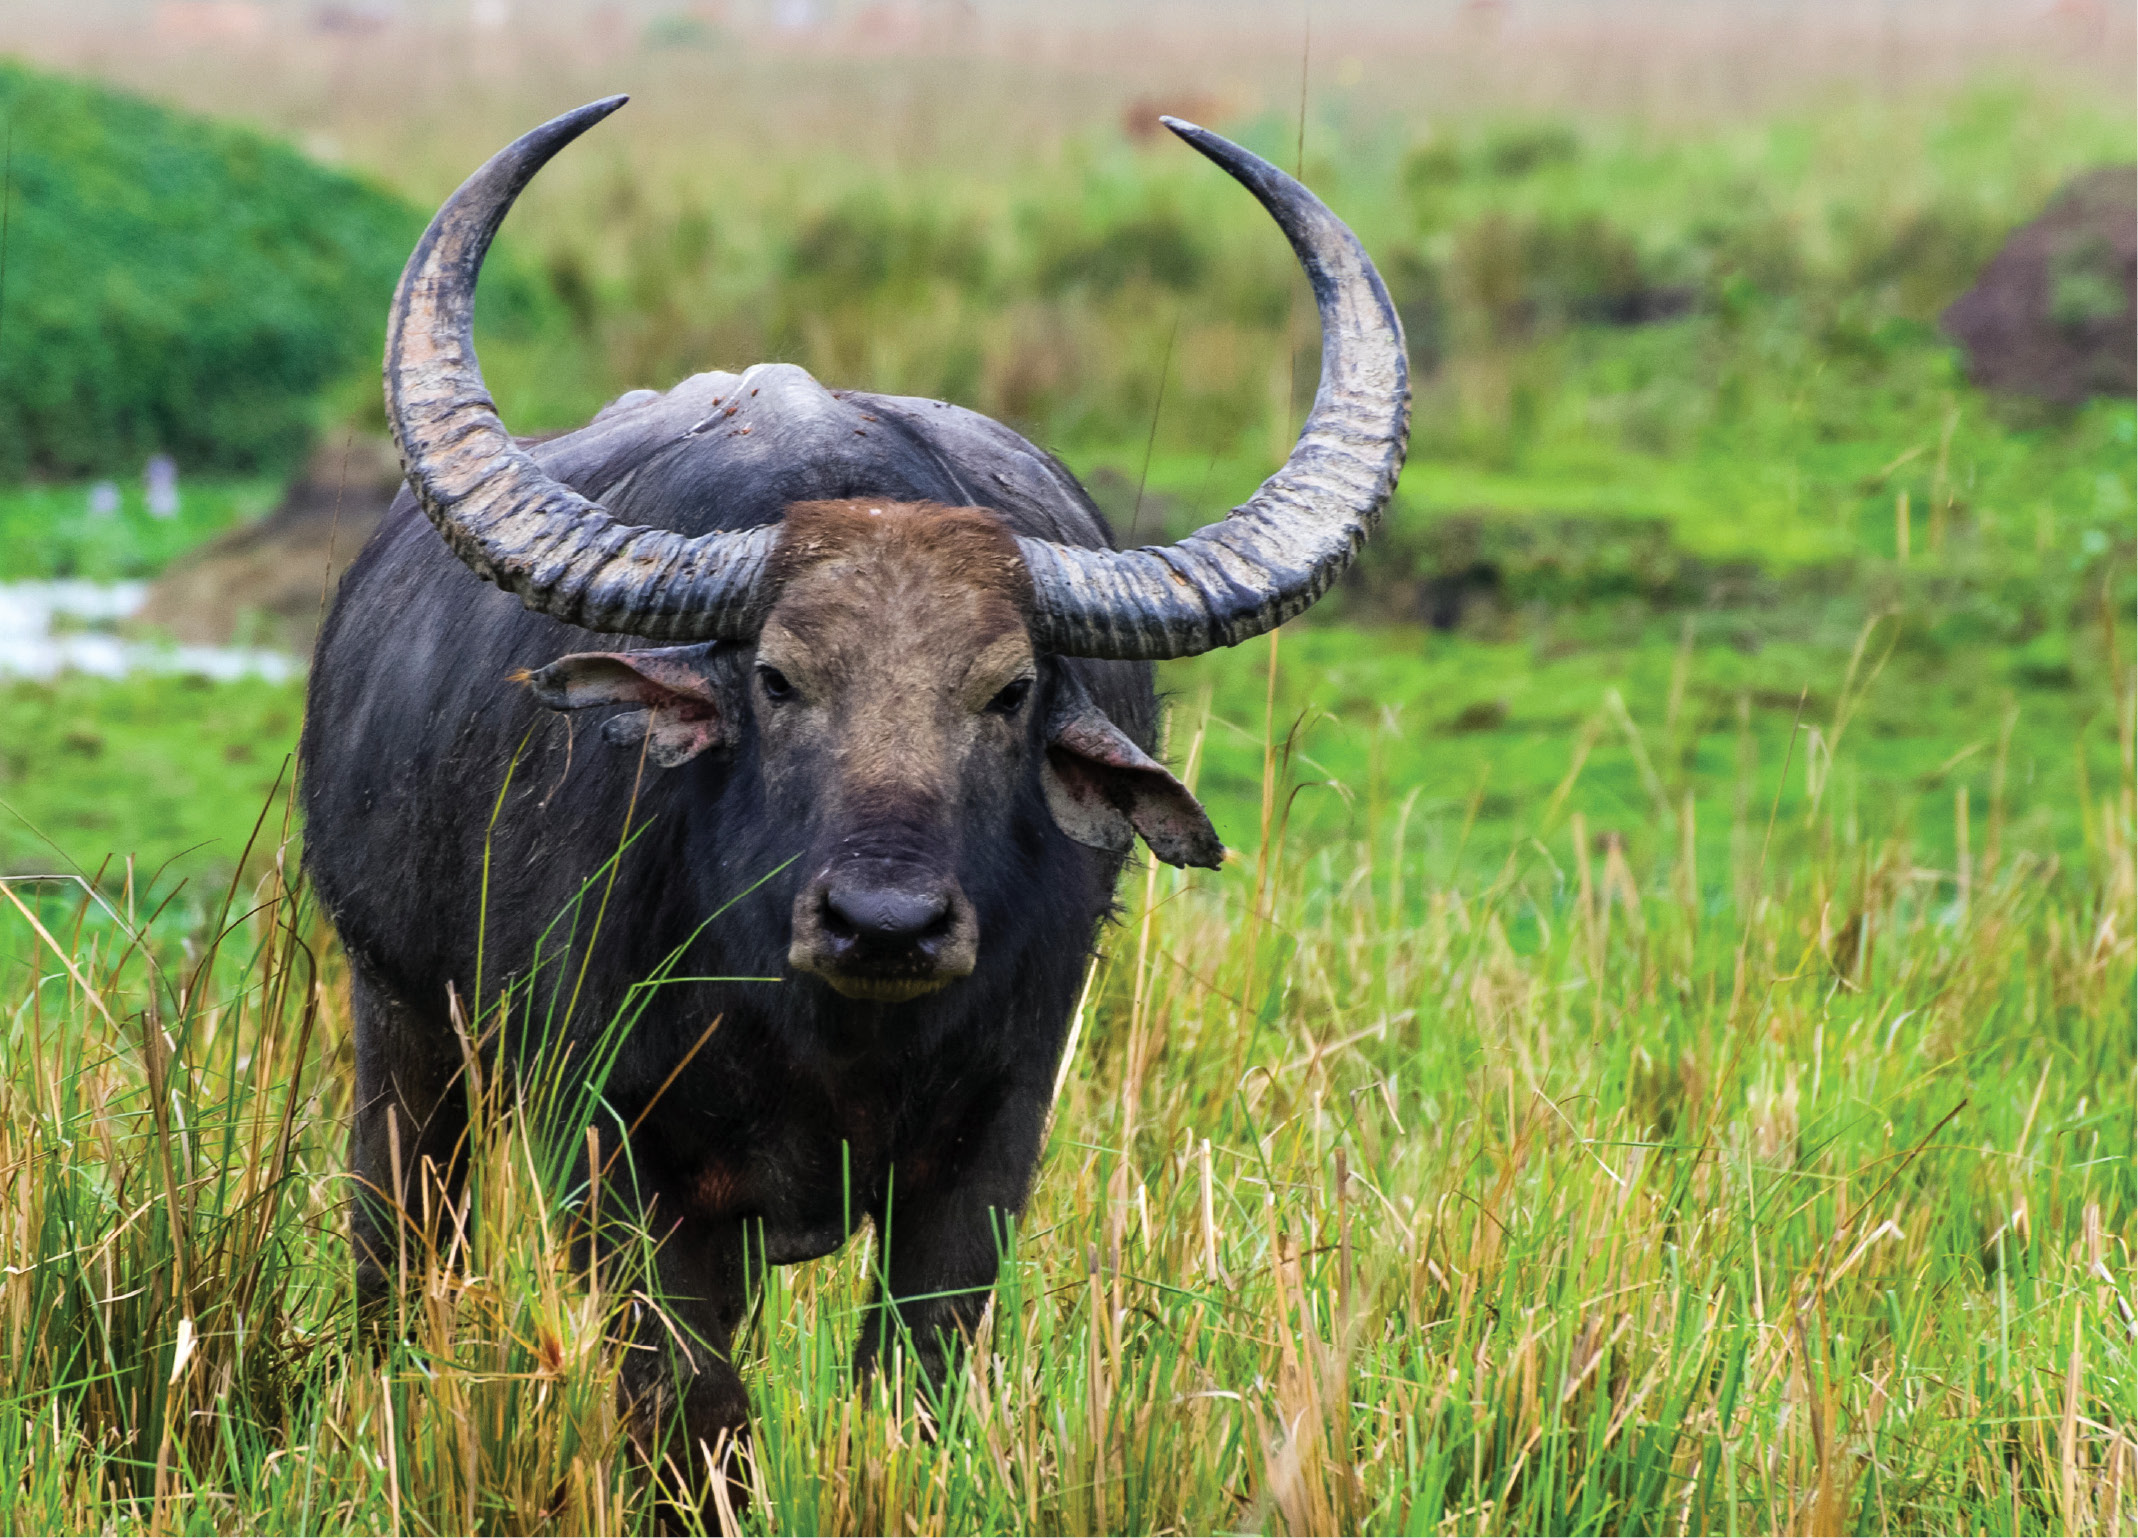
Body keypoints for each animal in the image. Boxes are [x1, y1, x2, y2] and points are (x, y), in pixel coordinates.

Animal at [301, 99, 1402, 1514]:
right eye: (775, 677)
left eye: (1007, 691)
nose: (886, 922)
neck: (824, 1034)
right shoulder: (610, 1145)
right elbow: (688, 1399)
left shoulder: (990, 1142)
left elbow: (914, 1385)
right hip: (398, 1022)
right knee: (399, 1240)